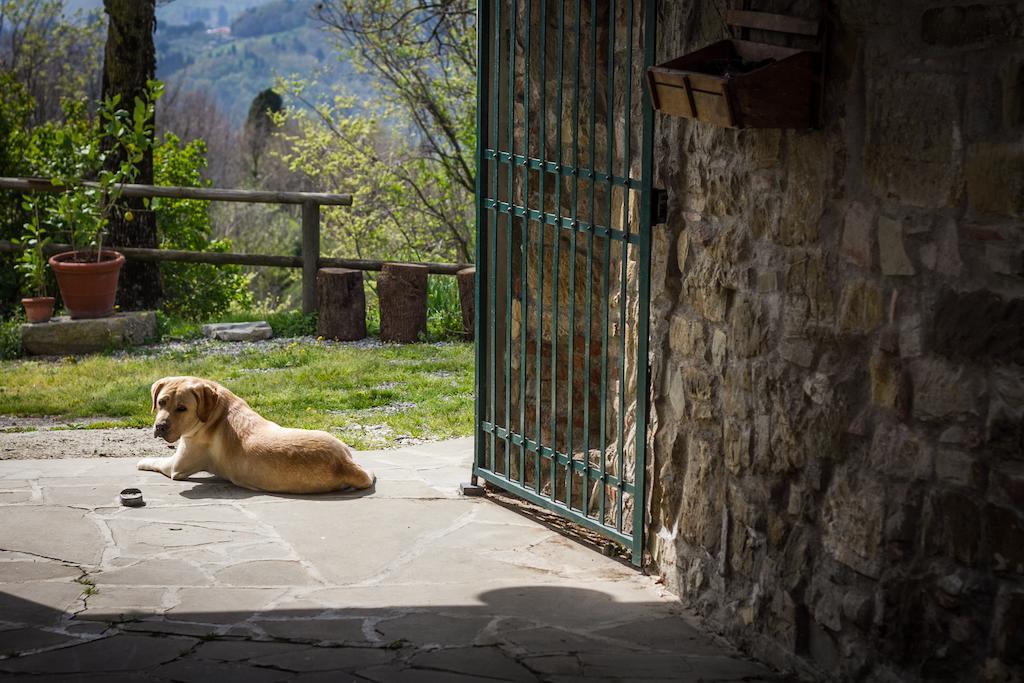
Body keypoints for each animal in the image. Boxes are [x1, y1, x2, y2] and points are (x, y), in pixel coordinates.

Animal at [138, 376, 374, 493]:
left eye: (182, 408)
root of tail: (343, 463)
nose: (160, 427)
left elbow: (156, 461)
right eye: (161, 402)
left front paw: (142, 461)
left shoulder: (176, 466)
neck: (215, 412)